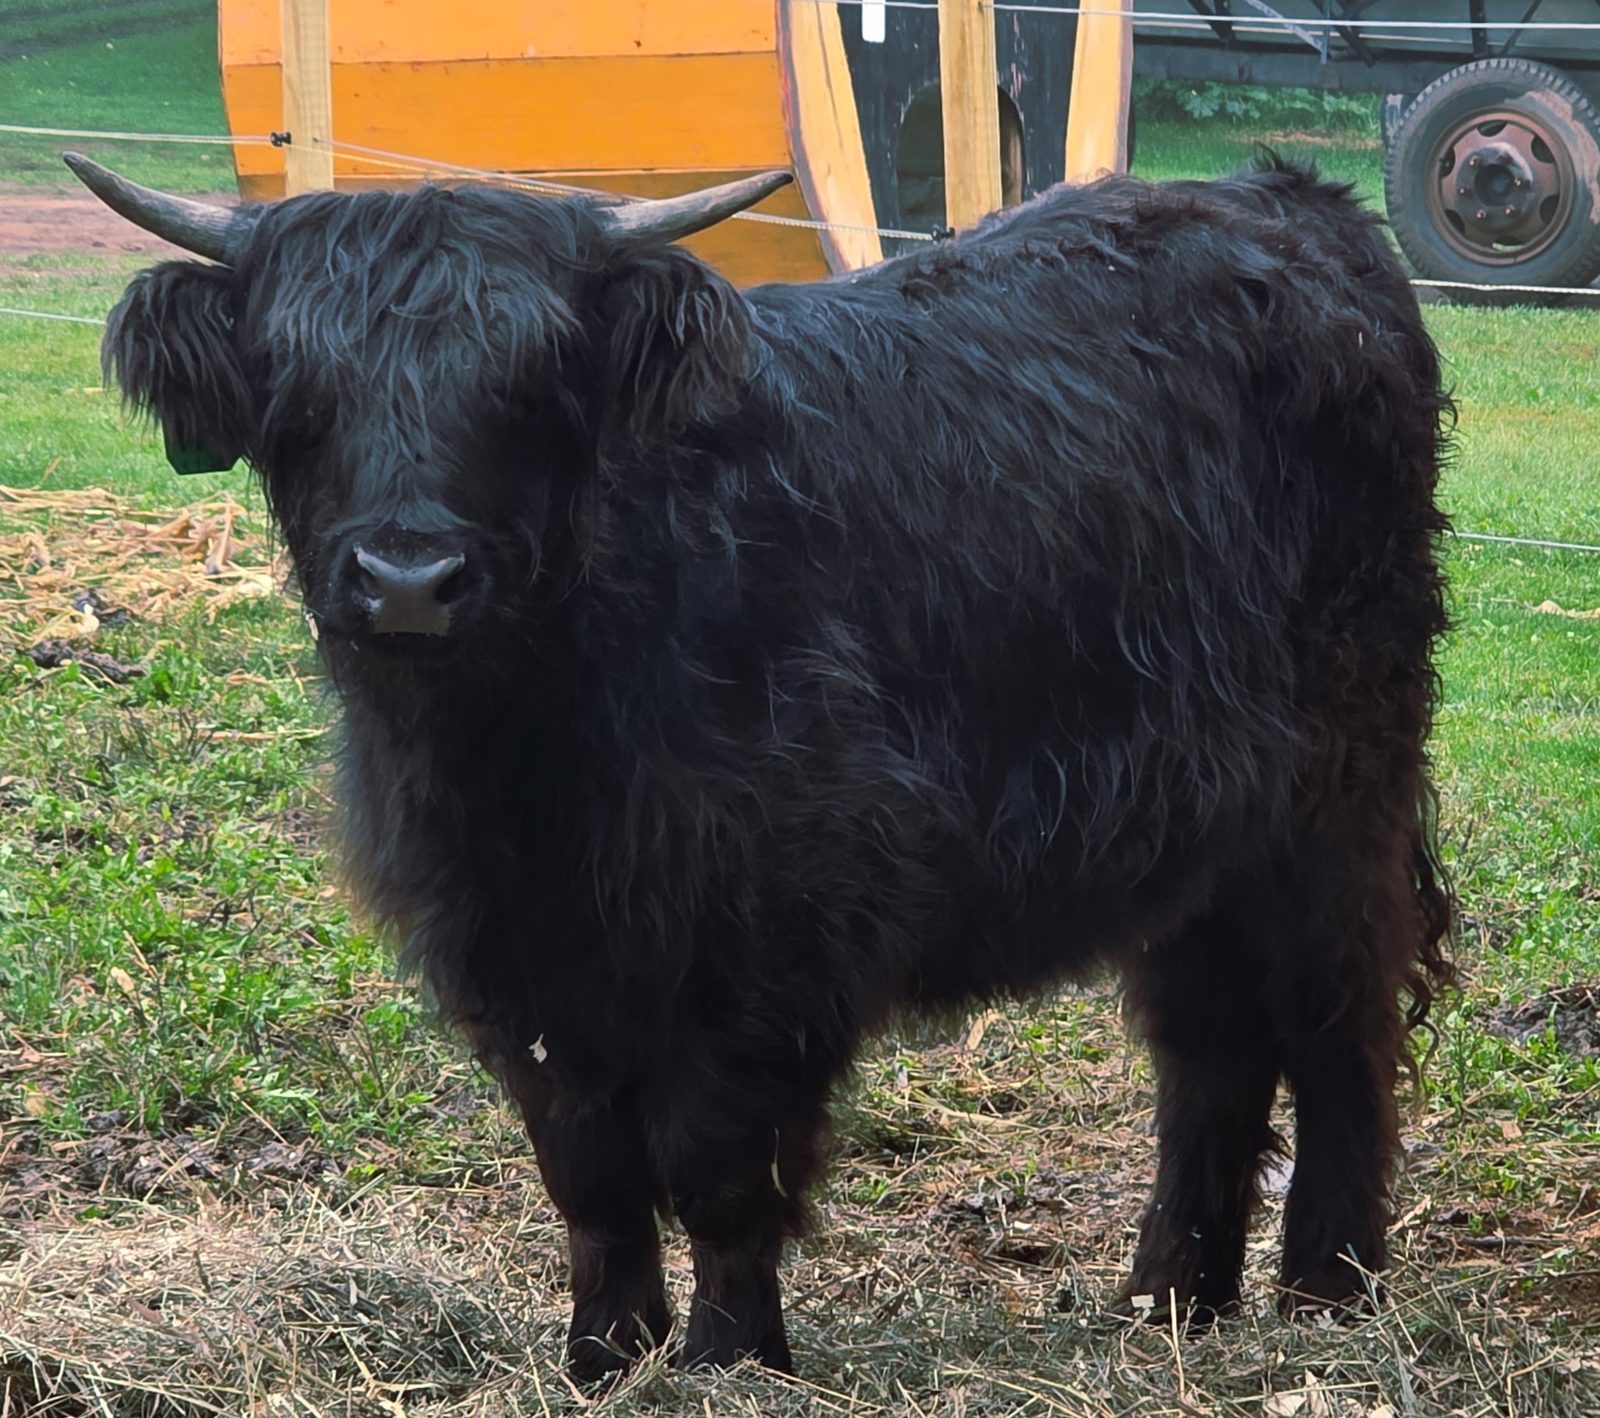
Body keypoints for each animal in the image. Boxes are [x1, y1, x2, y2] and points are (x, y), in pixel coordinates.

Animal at [70, 150, 1455, 1379]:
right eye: (296, 387)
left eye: (529, 383)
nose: (408, 578)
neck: (524, 752)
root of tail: (1287, 202)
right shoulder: (510, 949)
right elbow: (588, 1170)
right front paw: (601, 1354)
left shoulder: (781, 925)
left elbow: (716, 1162)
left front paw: (734, 1354)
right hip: (1198, 829)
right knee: (1210, 1042)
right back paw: (1170, 1299)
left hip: (1338, 790)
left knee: (1337, 1015)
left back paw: (1327, 1290)